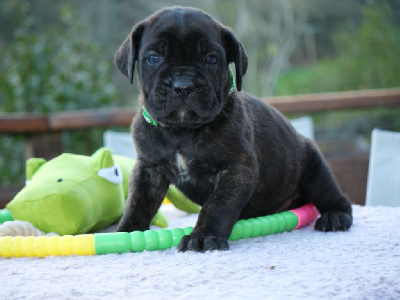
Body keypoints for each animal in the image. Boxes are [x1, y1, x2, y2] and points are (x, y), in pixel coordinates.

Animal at [114, 6, 352, 251]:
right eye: (153, 58)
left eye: (211, 59)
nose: (183, 86)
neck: (182, 130)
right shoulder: (149, 170)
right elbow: (137, 204)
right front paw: (125, 232)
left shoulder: (237, 168)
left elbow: (217, 204)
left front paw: (203, 236)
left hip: (315, 171)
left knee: (333, 196)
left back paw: (335, 216)